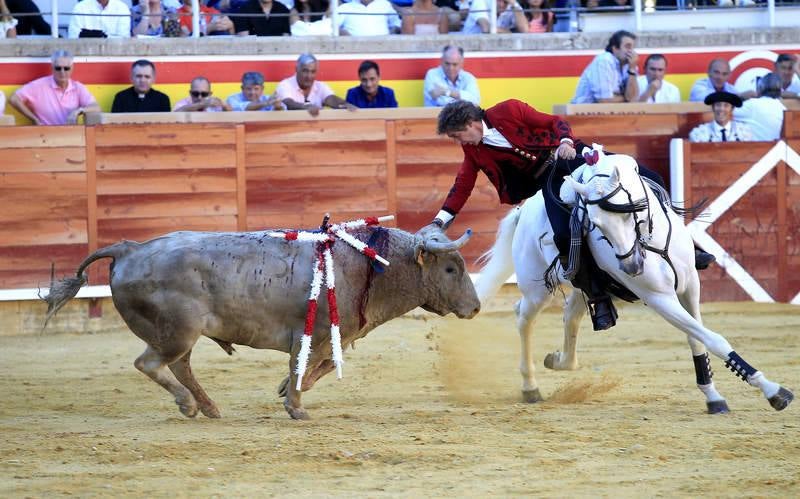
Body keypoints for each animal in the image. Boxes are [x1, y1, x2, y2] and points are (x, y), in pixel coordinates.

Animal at [43, 223, 478, 418]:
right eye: (451, 269)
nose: (475, 308)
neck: (368, 267)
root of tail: (129, 248)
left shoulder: (328, 337)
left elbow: (318, 366)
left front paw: (287, 392)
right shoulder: (314, 333)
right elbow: (308, 364)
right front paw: (296, 407)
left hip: (179, 336)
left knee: (179, 366)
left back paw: (208, 407)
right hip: (177, 333)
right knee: (150, 363)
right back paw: (188, 404)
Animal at [476, 144, 792, 414]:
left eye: (631, 213)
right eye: (595, 224)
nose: (631, 266)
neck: (650, 241)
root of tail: (522, 211)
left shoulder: (690, 286)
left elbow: (697, 339)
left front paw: (713, 396)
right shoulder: (659, 298)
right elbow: (712, 338)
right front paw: (774, 391)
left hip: (583, 287)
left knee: (571, 316)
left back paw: (559, 360)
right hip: (535, 287)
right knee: (523, 317)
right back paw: (530, 386)